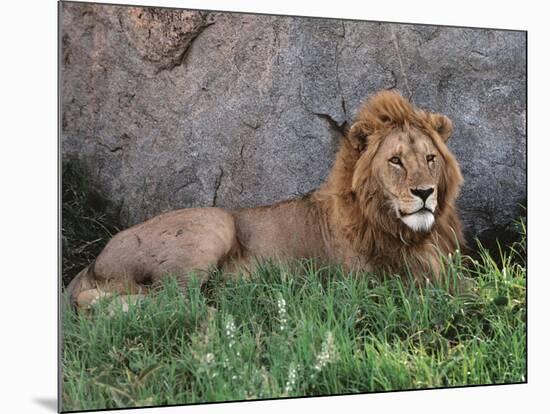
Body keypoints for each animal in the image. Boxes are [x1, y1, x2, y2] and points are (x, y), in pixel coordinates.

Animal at [67, 90, 468, 308]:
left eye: (430, 159)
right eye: (395, 161)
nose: (424, 193)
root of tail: (93, 262)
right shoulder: (376, 284)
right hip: (214, 223)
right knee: (171, 304)